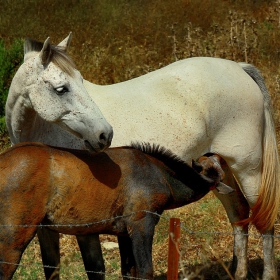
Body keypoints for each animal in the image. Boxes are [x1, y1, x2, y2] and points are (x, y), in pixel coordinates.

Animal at [5, 33, 278, 280]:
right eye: (61, 89)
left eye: (82, 81)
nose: (105, 134)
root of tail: (239, 68)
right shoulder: (43, 225)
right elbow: (51, 267)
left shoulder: (85, 223)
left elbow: (96, 268)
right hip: (220, 169)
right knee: (239, 214)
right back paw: (238, 273)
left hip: (248, 169)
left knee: (263, 219)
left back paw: (268, 274)